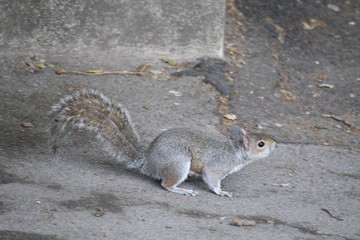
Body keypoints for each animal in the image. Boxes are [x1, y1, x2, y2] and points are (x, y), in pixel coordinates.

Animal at [49, 89, 278, 196]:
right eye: (261, 144)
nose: (276, 143)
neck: (236, 152)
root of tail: (148, 161)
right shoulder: (217, 166)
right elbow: (212, 179)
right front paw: (222, 192)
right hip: (178, 163)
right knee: (166, 184)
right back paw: (182, 190)